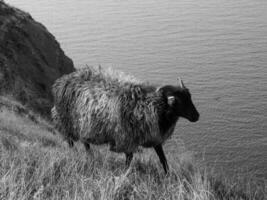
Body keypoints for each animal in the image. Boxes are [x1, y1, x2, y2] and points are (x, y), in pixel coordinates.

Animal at [51, 66, 200, 173]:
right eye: (178, 102)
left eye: (190, 97)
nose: (197, 116)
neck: (149, 106)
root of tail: (62, 80)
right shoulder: (126, 139)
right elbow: (129, 160)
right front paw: (125, 174)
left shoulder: (154, 138)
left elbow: (163, 160)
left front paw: (168, 176)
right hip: (66, 122)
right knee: (70, 141)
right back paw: (76, 155)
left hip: (82, 125)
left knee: (85, 143)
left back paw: (90, 156)